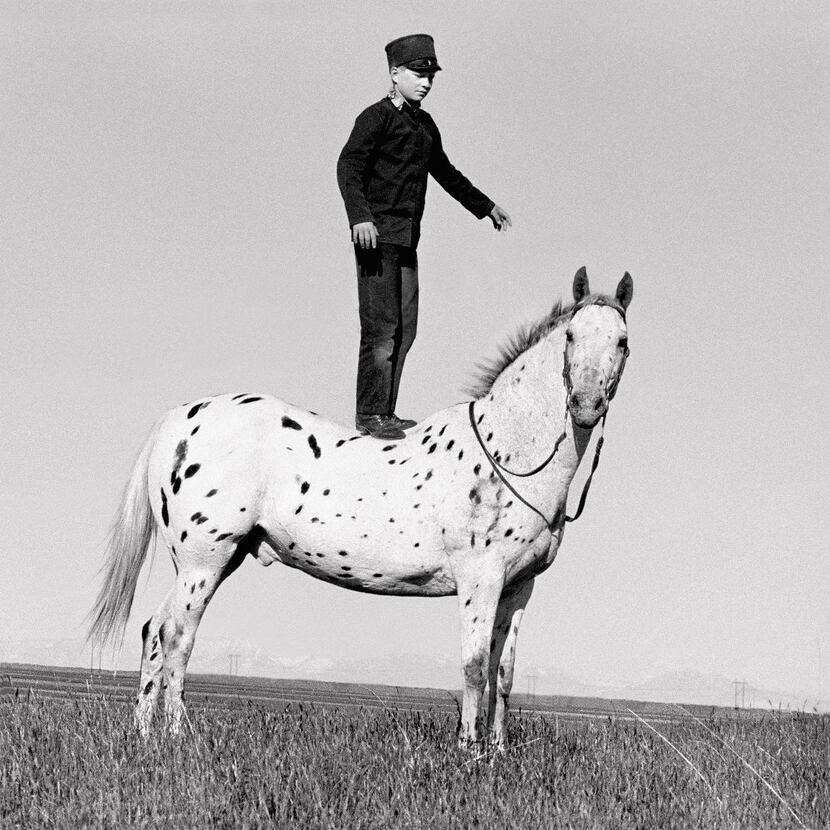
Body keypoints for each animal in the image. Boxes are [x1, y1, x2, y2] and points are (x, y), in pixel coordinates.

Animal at [88, 270, 632, 752]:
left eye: (623, 342)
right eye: (572, 336)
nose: (585, 405)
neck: (507, 452)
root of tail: (178, 420)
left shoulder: (519, 586)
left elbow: (504, 672)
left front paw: (496, 752)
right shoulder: (480, 579)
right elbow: (475, 667)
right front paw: (469, 752)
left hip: (211, 561)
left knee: (153, 631)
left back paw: (145, 736)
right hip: (205, 561)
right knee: (177, 636)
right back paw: (180, 738)